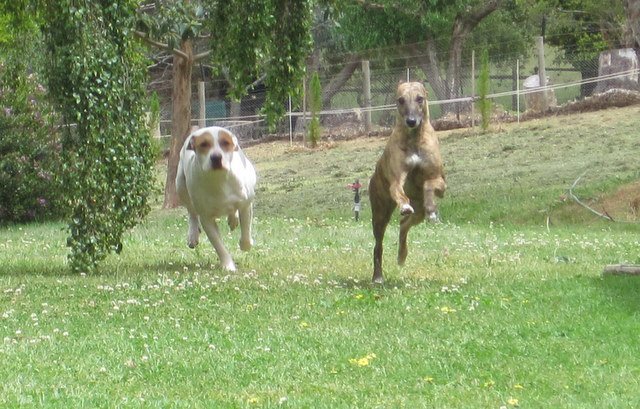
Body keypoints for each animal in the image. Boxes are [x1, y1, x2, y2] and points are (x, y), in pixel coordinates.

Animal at [176, 126, 257, 271]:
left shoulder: (246, 205)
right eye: (203, 144)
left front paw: (245, 244)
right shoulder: (206, 218)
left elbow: (246, 230)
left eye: (225, 143)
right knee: (191, 212)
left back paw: (233, 219)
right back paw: (193, 235)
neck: (219, 180)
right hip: (180, 185)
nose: (216, 157)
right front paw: (228, 265)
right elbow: (218, 244)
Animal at [368, 82, 446, 283]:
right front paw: (404, 205)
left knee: (404, 226)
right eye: (400, 100)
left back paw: (402, 255)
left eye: (420, 98)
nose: (411, 121)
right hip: (379, 214)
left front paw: (432, 210)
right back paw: (378, 276)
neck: (414, 138)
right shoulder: (396, 180)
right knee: (378, 245)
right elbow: (398, 189)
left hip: (417, 214)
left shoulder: (440, 182)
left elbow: (428, 185)